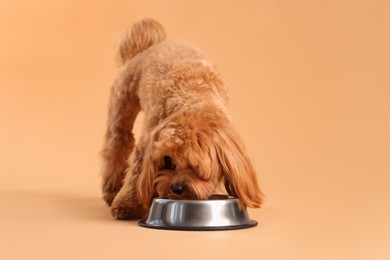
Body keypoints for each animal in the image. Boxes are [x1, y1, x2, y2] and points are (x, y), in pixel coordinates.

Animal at [102, 17, 264, 219]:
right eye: (167, 160)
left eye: (195, 166)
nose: (176, 188)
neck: (195, 99)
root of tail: (151, 45)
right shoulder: (148, 142)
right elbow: (136, 174)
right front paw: (128, 205)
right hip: (121, 106)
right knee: (117, 144)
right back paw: (112, 190)